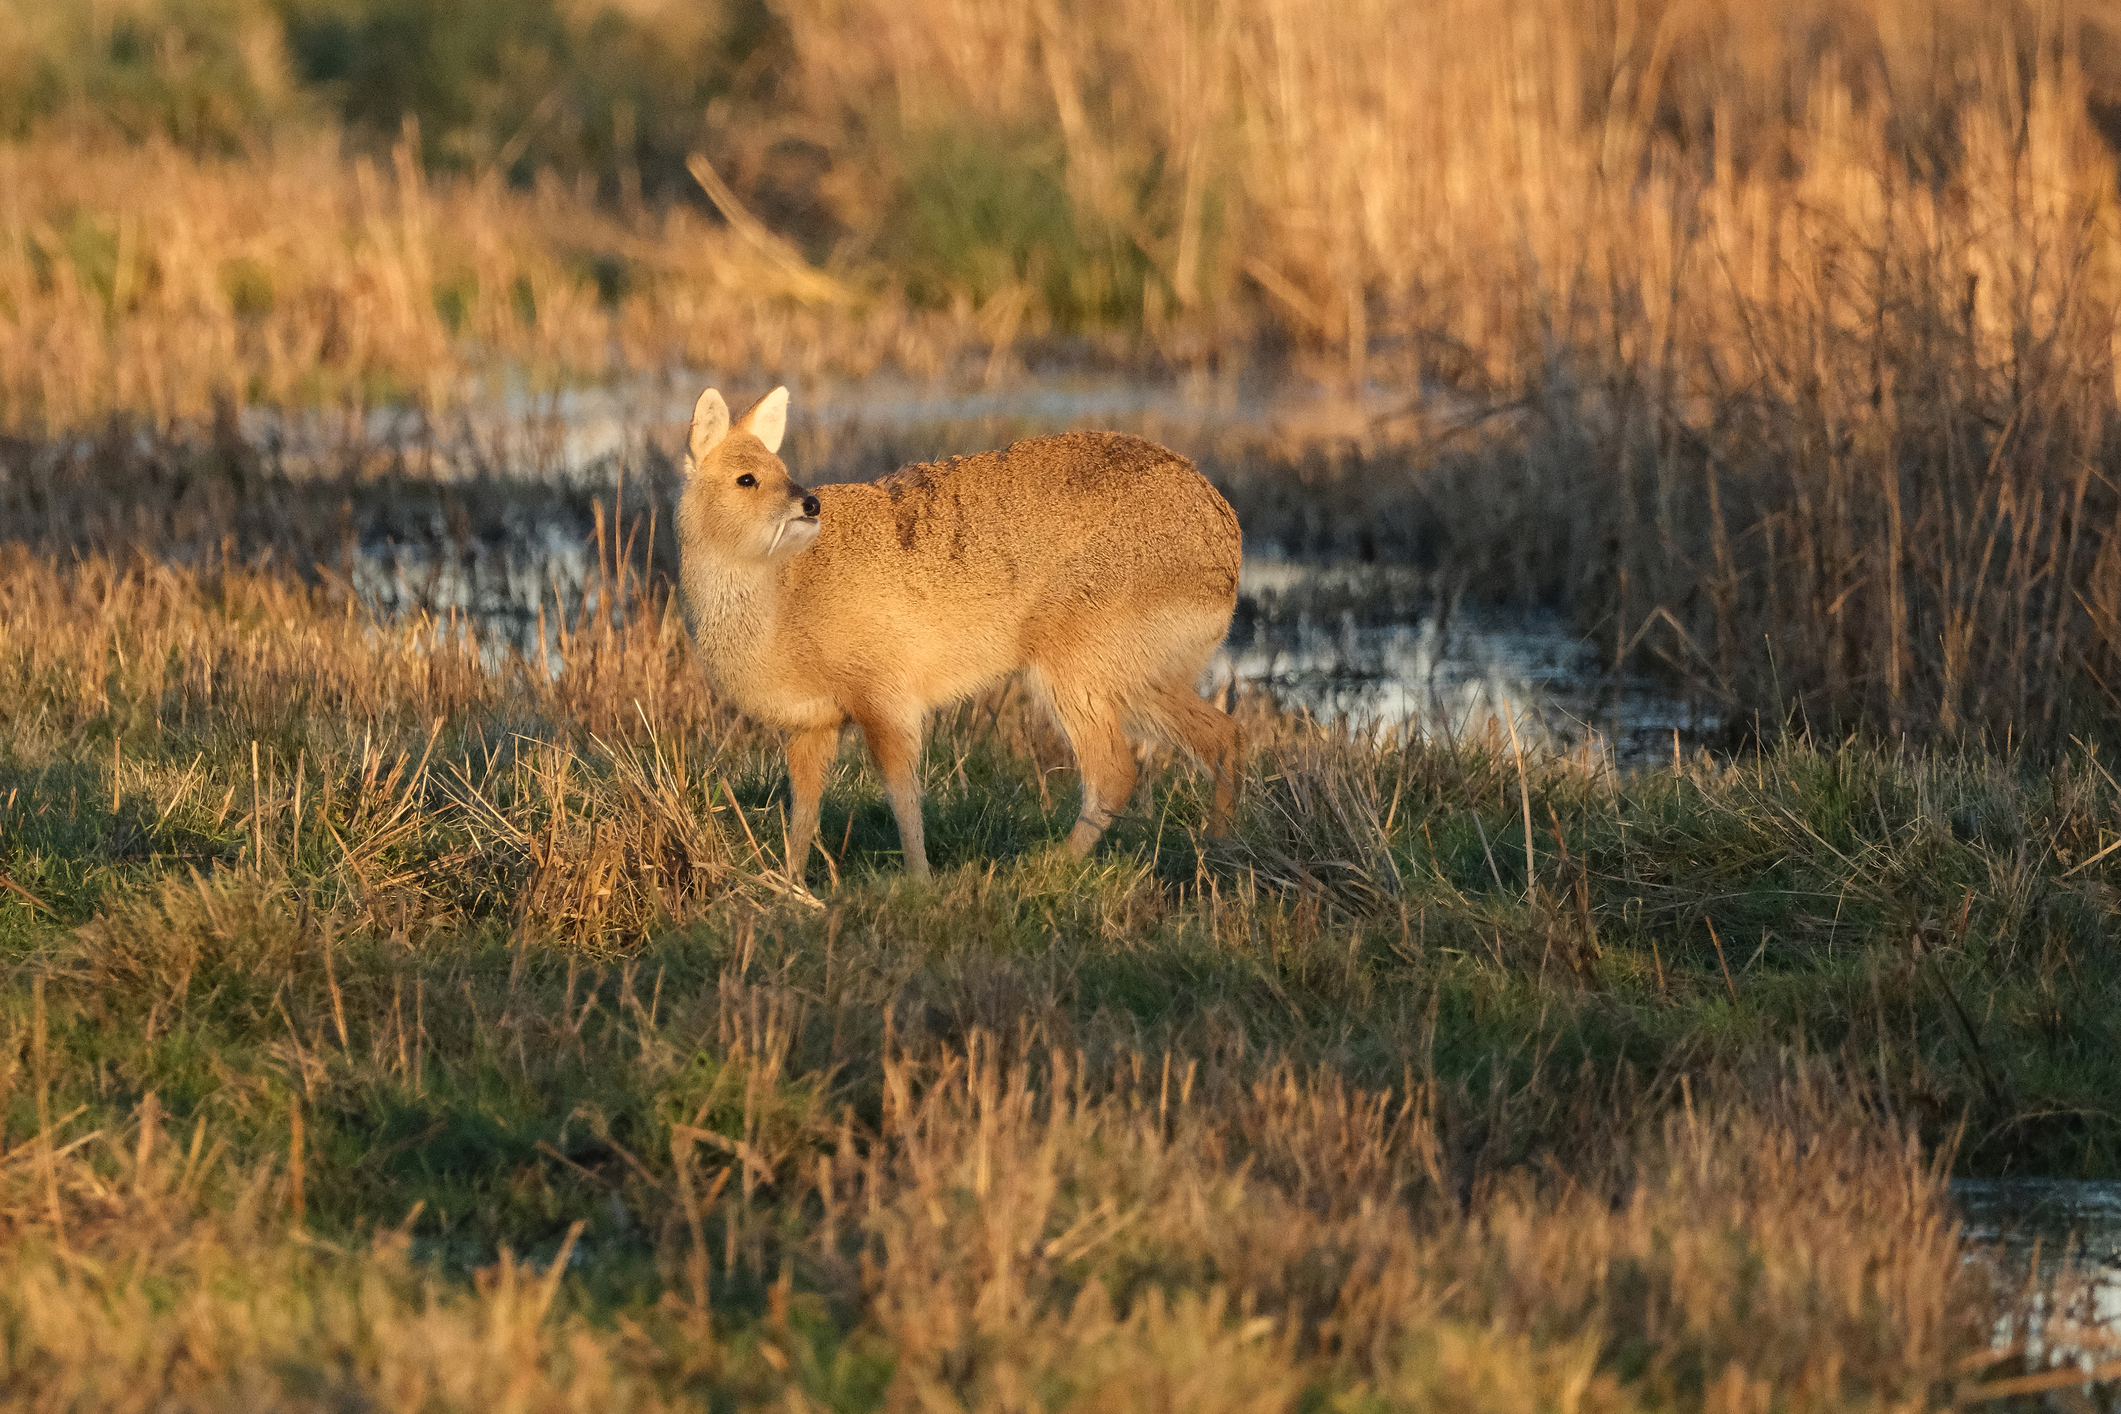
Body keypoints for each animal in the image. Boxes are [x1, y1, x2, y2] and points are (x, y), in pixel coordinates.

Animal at [676, 385, 1241, 883]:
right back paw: (1217, 849)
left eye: (784, 472)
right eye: (746, 478)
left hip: (1076, 668)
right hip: (1139, 676)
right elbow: (803, 812)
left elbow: (903, 795)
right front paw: (789, 883)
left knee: (1116, 771)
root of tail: (1225, 534)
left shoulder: (885, 699)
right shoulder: (814, 724)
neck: (783, 600)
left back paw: (1043, 868)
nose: (810, 504)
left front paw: (920, 880)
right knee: (1222, 735)